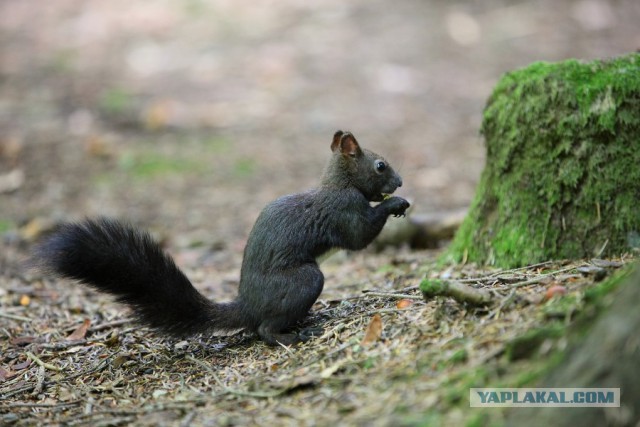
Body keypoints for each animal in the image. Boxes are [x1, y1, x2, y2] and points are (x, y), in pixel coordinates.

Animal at [32, 132, 408, 346]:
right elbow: (359, 237)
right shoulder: (345, 211)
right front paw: (395, 204)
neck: (339, 184)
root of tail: (247, 305)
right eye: (380, 166)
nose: (401, 181)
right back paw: (293, 334)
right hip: (303, 280)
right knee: (264, 330)